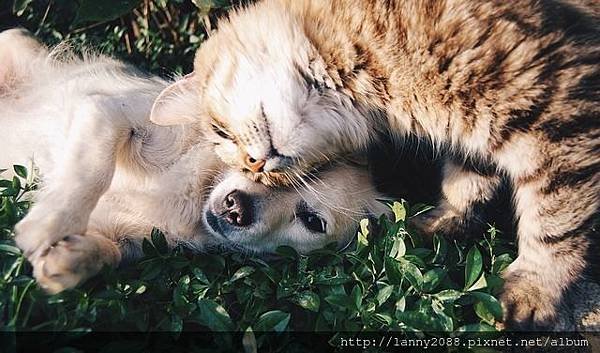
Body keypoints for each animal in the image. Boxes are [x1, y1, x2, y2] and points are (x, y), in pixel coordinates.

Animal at [0, 30, 386, 292]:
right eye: (254, 163)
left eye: (312, 221)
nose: (236, 207)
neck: (195, 193)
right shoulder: (107, 111)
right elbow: (92, 170)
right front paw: (48, 224)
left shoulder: (131, 239)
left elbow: (109, 253)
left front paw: (69, 261)